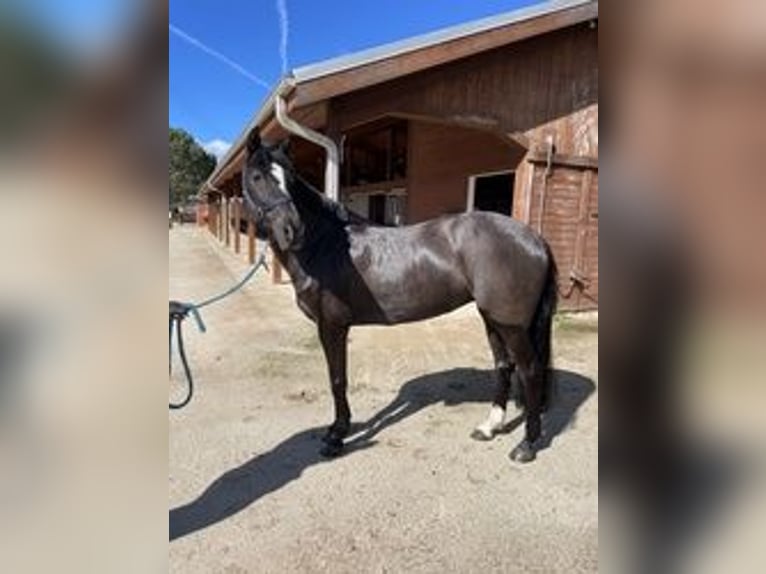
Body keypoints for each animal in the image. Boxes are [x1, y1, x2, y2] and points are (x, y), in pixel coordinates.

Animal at [241, 128, 557, 463]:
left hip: (512, 326)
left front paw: (336, 436)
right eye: (257, 176)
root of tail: (535, 238)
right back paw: (488, 428)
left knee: (530, 370)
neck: (325, 246)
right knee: (504, 366)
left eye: (289, 178)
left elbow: (337, 378)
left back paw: (526, 445)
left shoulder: (332, 326)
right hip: (492, 319)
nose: (292, 229)